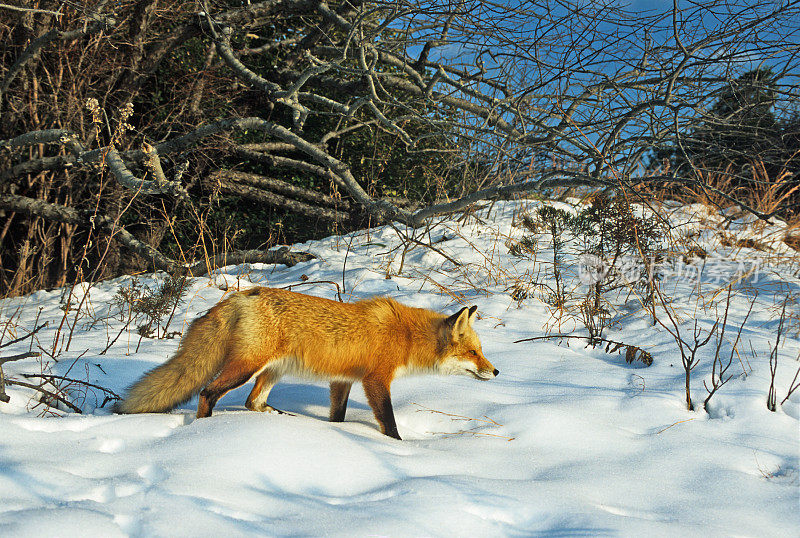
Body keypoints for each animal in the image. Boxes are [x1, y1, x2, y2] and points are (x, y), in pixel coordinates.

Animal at [115, 286, 496, 438]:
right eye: (474, 353)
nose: (495, 370)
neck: (405, 335)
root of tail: (240, 294)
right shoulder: (376, 380)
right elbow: (388, 422)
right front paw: (398, 447)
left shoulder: (343, 380)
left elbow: (337, 417)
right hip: (247, 368)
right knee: (209, 393)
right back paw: (206, 430)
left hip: (273, 371)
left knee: (253, 402)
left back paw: (282, 420)